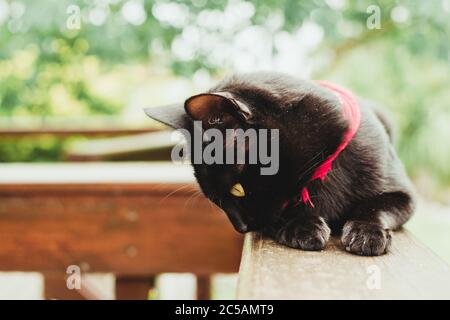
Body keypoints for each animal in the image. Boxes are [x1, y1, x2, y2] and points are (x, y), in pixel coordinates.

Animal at [144, 71, 414, 256]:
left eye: (237, 189)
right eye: (213, 199)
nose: (241, 227)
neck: (323, 167)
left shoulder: (403, 194)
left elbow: (374, 206)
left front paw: (366, 232)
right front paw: (303, 225)